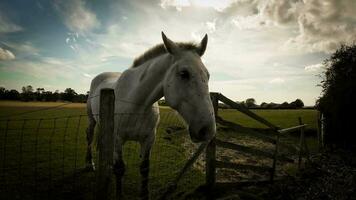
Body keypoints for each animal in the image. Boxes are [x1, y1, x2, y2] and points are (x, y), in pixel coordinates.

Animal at [85, 32, 216, 199]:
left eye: (208, 75)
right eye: (184, 73)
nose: (208, 130)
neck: (137, 103)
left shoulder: (148, 139)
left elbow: (145, 169)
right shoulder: (117, 139)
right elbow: (119, 169)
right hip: (91, 120)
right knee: (89, 137)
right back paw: (90, 164)